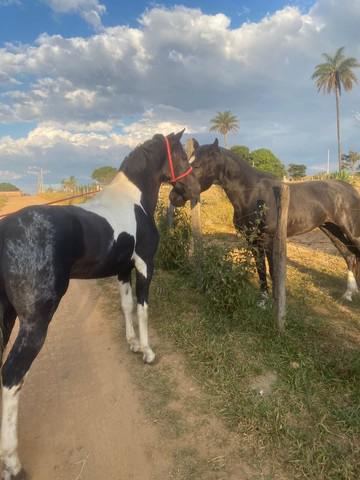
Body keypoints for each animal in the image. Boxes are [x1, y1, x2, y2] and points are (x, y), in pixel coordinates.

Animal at [0, 129, 200, 478]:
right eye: (180, 155)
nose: (192, 189)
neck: (133, 201)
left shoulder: (122, 270)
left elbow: (126, 306)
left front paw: (132, 344)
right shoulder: (144, 265)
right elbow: (143, 309)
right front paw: (147, 352)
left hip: (5, 316)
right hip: (33, 324)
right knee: (12, 377)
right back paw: (13, 463)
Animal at [169, 139, 360, 302]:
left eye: (196, 165)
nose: (173, 197)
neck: (254, 194)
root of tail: (350, 189)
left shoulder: (268, 239)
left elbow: (272, 270)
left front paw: (276, 301)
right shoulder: (253, 240)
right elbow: (260, 268)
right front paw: (263, 300)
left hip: (350, 232)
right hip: (331, 229)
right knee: (350, 256)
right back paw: (348, 294)